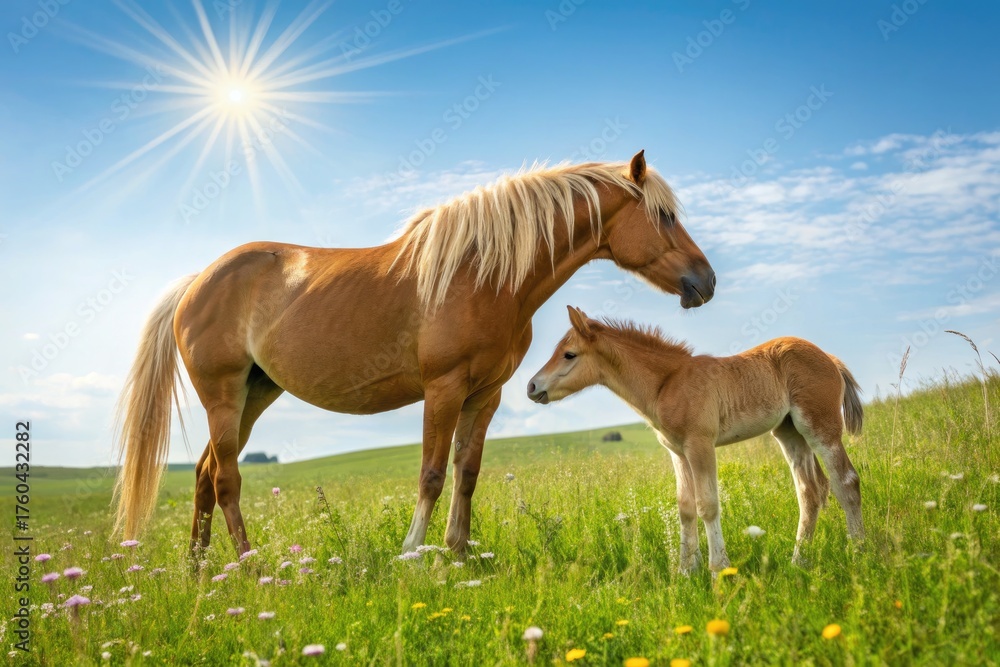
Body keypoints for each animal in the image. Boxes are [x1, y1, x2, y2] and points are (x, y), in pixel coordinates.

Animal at [112, 150, 717, 558]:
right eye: (664, 216)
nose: (706, 281)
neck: (485, 274)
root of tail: (197, 282)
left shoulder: (486, 394)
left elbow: (466, 472)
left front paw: (460, 553)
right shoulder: (443, 388)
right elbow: (430, 474)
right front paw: (413, 553)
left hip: (254, 395)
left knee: (204, 475)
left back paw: (201, 572)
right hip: (223, 395)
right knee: (226, 480)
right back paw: (251, 566)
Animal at [527, 307, 864, 571]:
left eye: (569, 354)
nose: (532, 386)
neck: (666, 383)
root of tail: (830, 358)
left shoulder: (700, 445)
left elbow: (707, 505)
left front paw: (718, 570)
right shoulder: (677, 452)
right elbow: (685, 508)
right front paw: (686, 572)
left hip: (819, 427)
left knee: (846, 481)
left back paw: (859, 551)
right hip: (789, 431)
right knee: (810, 490)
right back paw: (798, 561)